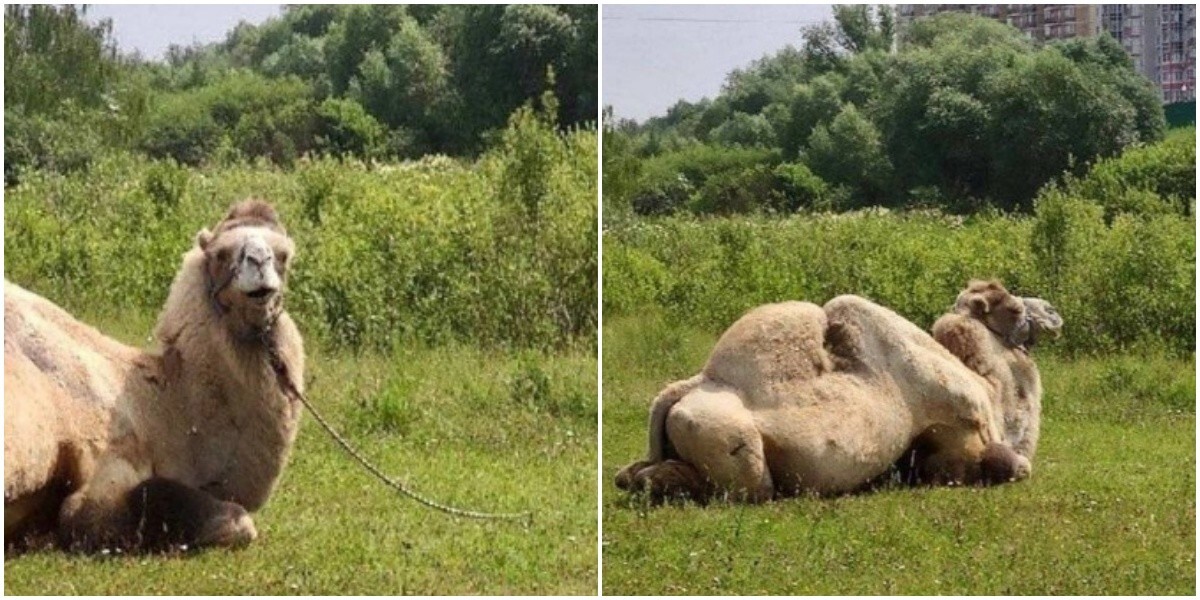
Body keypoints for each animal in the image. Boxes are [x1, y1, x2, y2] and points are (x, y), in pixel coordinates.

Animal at [5, 201, 304, 552]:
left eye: (284, 255)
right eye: (220, 254)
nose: (259, 262)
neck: (164, 404)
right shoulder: (106, 459)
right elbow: (234, 521)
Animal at [619, 280, 1060, 501]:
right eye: (1014, 309)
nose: (1054, 313)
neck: (989, 387)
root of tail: (692, 385)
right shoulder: (957, 430)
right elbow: (1012, 465)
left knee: (634, 474)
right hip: (728, 442)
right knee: (753, 488)